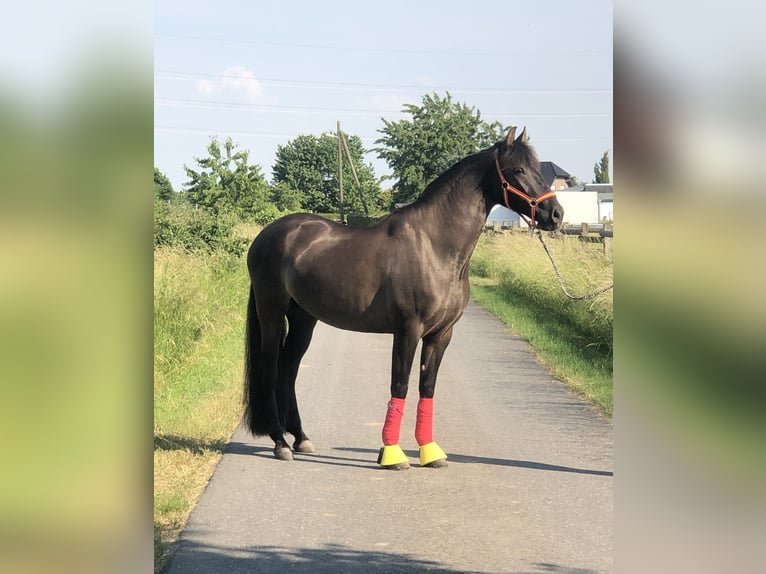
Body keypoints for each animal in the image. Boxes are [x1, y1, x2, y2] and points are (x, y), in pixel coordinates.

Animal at [243, 126, 563, 469]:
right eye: (518, 170)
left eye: (537, 168)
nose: (556, 214)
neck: (435, 246)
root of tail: (267, 235)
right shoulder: (408, 330)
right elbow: (400, 384)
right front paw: (392, 454)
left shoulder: (441, 334)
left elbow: (427, 387)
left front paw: (430, 452)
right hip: (272, 313)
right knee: (270, 371)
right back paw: (280, 443)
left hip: (304, 318)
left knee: (289, 370)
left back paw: (301, 438)